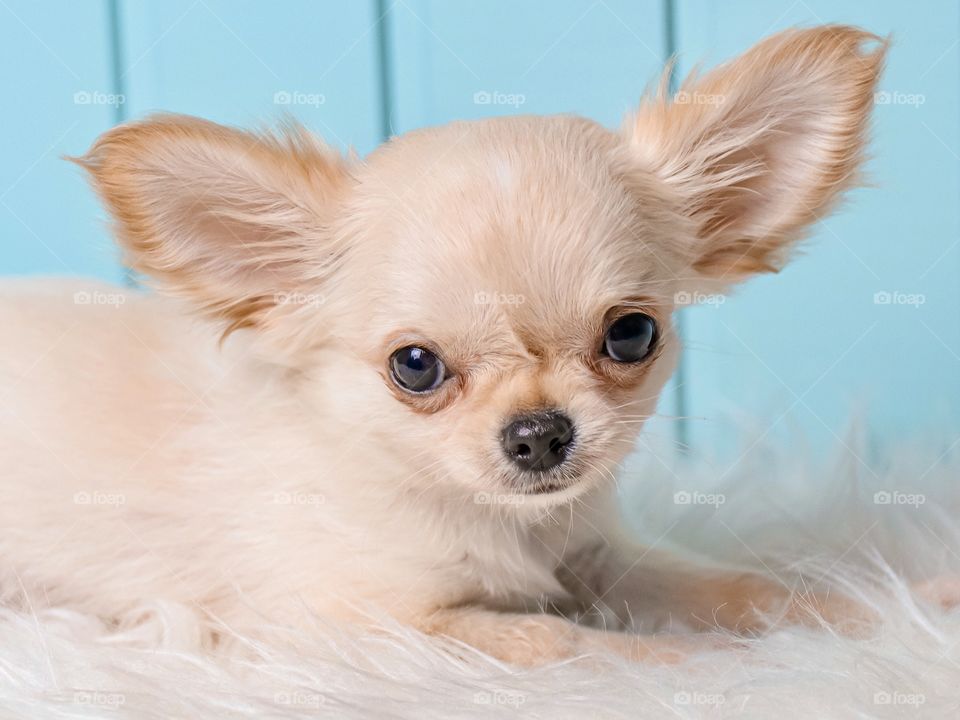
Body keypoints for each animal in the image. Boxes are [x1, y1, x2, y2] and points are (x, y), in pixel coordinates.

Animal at [0, 26, 900, 668]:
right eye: (416, 367)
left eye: (631, 334)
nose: (539, 434)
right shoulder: (362, 618)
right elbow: (571, 645)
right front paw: (712, 665)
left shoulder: (597, 557)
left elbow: (744, 584)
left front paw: (882, 607)